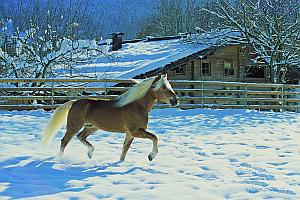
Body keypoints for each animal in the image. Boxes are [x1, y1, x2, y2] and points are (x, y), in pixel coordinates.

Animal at [42, 74, 178, 162]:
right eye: (164, 87)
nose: (175, 100)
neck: (137, 105)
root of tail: (74, 102)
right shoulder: (135, 131)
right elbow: (154, 137)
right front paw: (151, 156)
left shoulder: (130, 134)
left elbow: (124, 149)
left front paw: (120, 163)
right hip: (74, 126)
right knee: (64, 141)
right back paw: (60, 159)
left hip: (92, 127)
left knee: (80, 137)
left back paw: (90, 153)